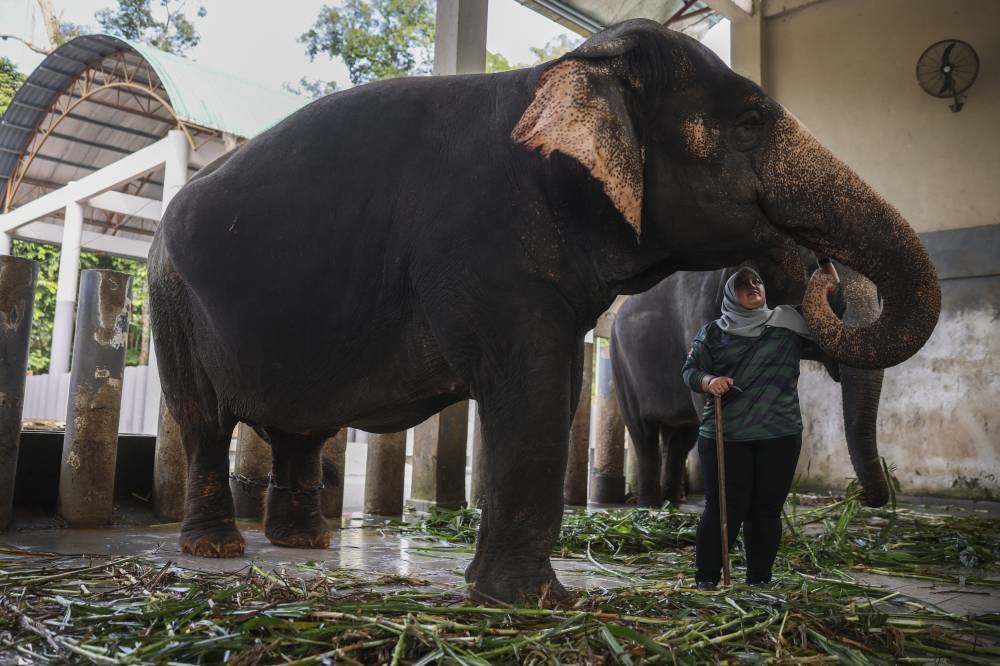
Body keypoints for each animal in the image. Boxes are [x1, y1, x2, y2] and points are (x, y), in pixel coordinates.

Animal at [611, 248, 890, 509]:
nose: (861, 496)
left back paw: (674, 501)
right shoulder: (699, 309)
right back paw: (649, 505)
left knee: (681, 437)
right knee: (643, 433)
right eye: (812, 268)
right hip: (621, 366)